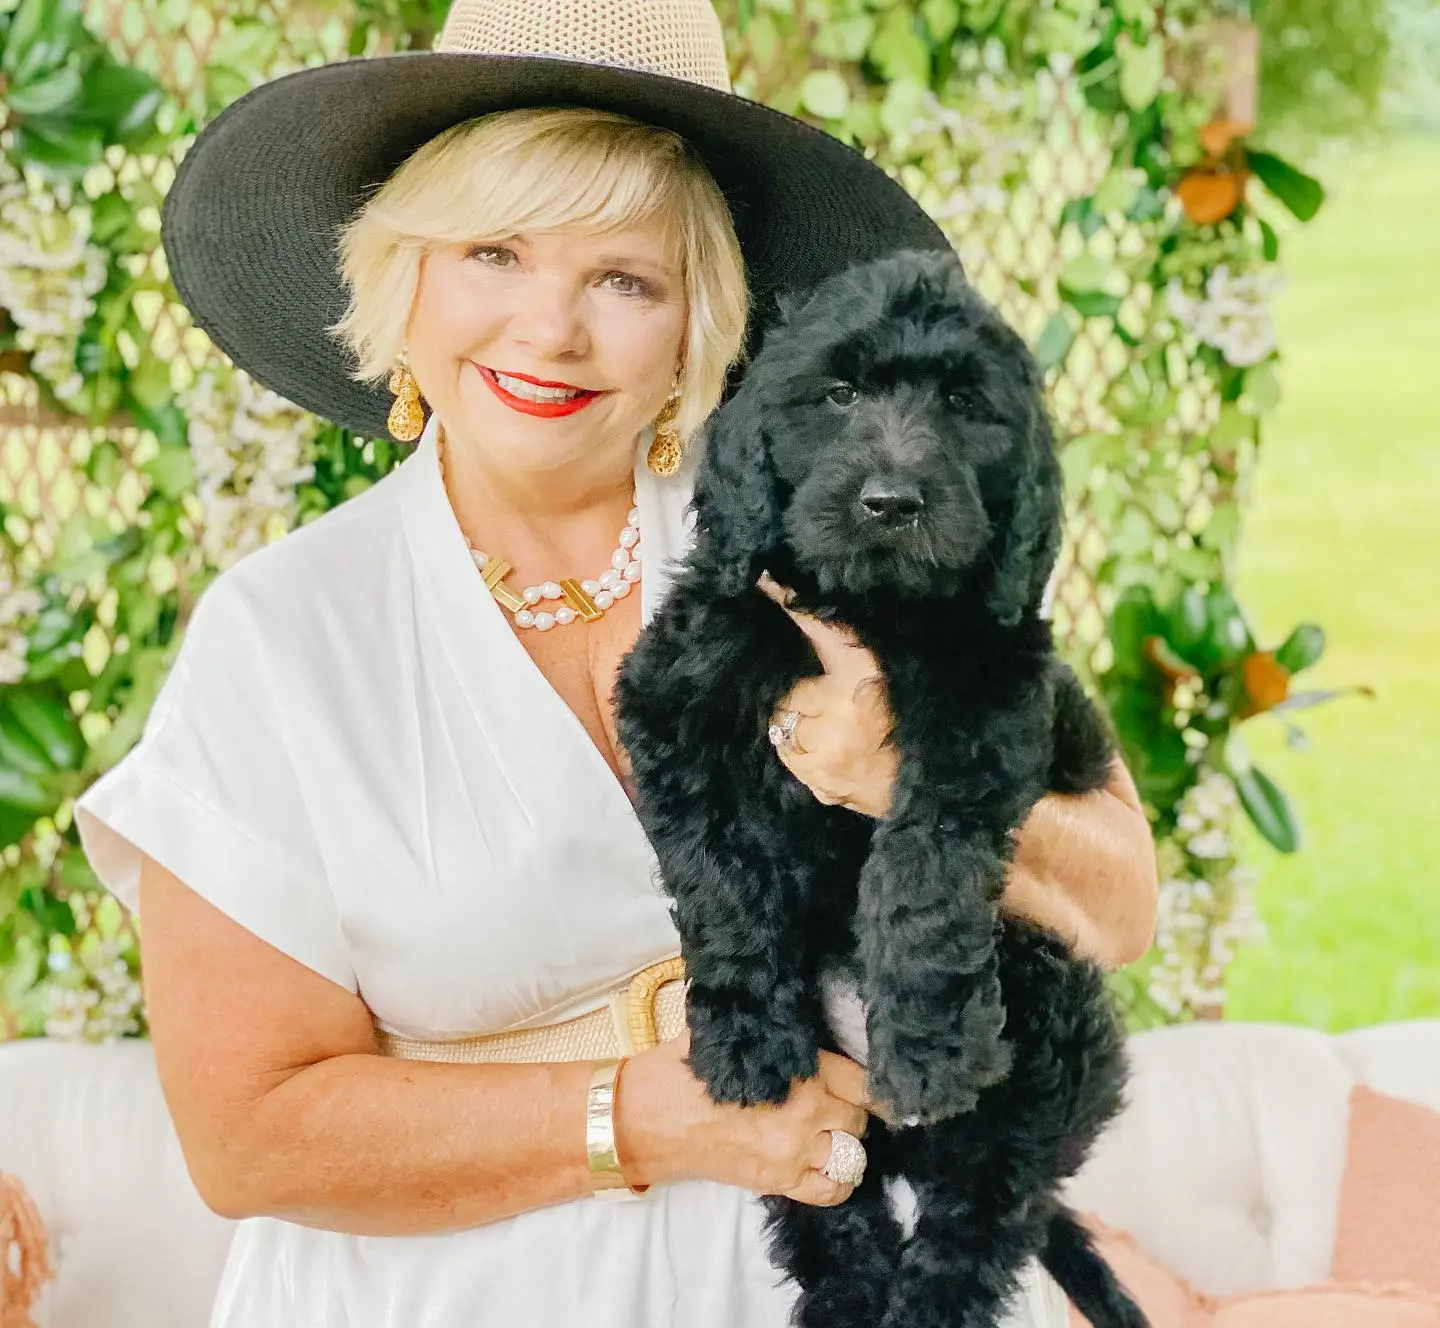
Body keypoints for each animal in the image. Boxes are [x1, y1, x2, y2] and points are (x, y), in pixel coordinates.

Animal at [616, 250, 1146, 1325]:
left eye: (964, 405)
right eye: (839, 394)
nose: (892, 502)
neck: (871, 607)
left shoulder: (986, 704)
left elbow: (922, 868)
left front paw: (931, 1044)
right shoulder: (676, 699)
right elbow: (717, 875)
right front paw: (744, 1039)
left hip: (1046, 1031)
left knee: (979, 1219)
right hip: (827, 1138)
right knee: (835, 1211)